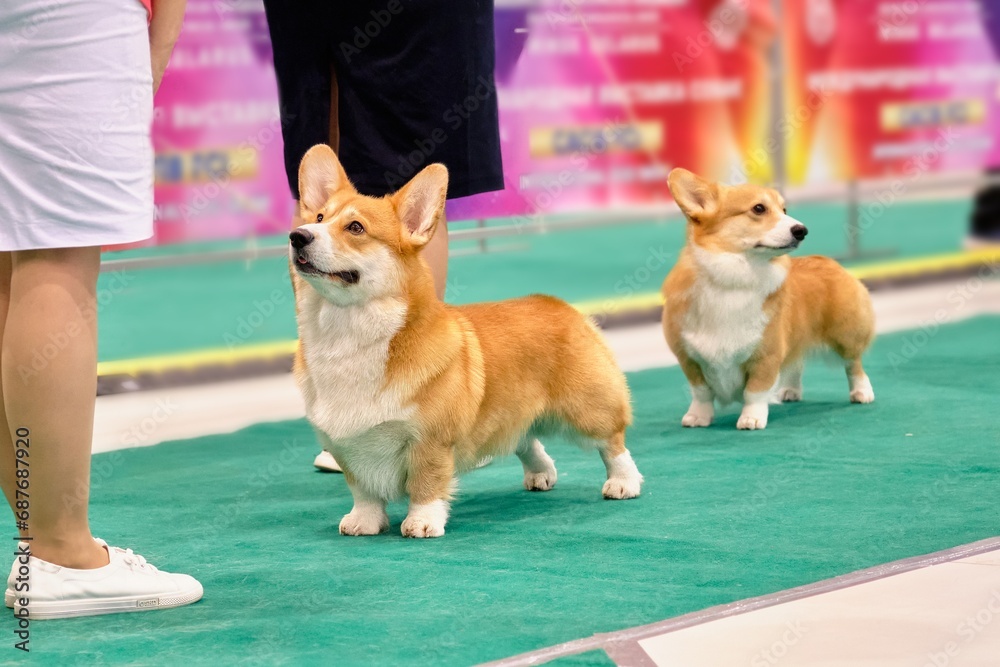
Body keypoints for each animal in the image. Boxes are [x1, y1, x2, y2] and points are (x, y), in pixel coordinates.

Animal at [288, 146, 640, 536]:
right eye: (319, 217)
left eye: (355, 227)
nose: (298, 236)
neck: (346, 333)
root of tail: (561, 306)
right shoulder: (347, 446)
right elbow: (363, 490)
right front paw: (363, 522)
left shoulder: (430, 441)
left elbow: (427, 484)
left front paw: (422, 523)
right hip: (512, 412)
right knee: (526, 439)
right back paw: (541, 475)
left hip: (586, 409)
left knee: (613, 444)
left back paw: (623, 483)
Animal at [664, 170, 876, 430]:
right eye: (759, 208)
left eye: (784, 210)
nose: (802, 230)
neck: (734, 277)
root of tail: (829, 261)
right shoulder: (689, 359)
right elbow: (701, 393)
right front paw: (697, 417)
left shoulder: (766, 356)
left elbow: (754, 392)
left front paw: (751, 419)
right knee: (796, 362)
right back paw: (790, 391)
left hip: (846, 335)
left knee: (854, 365)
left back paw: (862, 392)